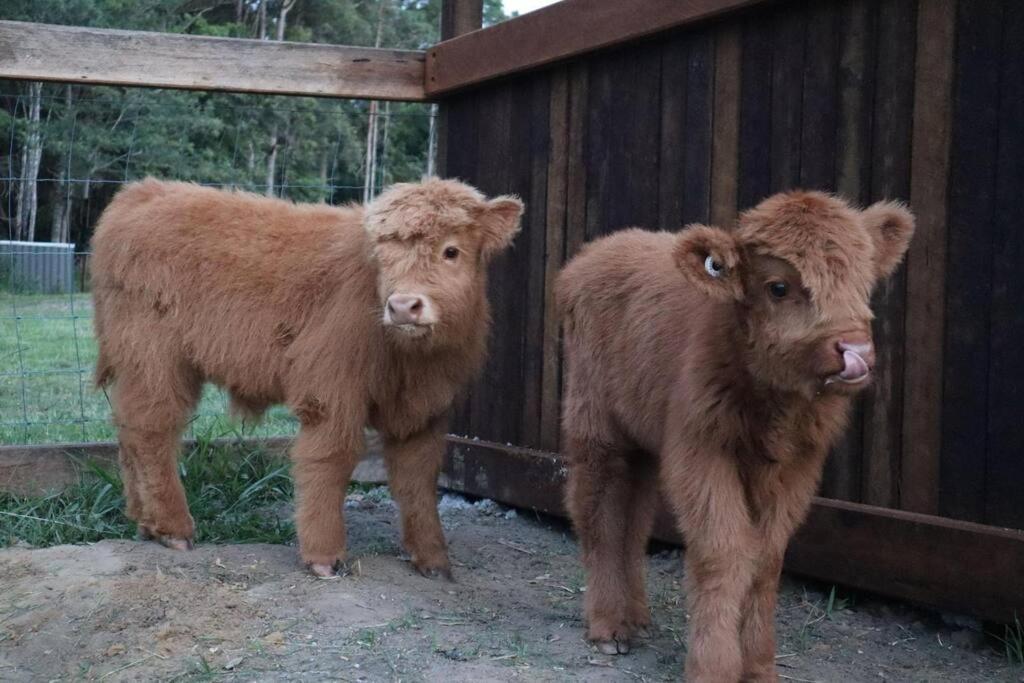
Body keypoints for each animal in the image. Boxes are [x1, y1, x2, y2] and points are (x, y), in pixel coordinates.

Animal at [91, 177, 522, 579]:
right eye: (383, 255)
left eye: (451, 251)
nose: (402, 306)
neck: (413, 361)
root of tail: (143, 191)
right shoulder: (331, 389)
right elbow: (330, 459)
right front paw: (324, 556)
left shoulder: (425, 410)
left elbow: (418, 479)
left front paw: (433, 559)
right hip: (155, 358)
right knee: (152, 430)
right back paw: (173, 528)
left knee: (129, 430)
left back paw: (143, 521)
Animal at [556, 191, 914, 681]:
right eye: (778, 286)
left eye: (863, 281)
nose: (854, 352)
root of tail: (597, 252)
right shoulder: (703, 454)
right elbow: (722, 552)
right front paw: (713, 666)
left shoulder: (796, 468)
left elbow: (765, 561)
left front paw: (759, 665)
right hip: (596, 430)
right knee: (599, 516)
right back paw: (609, 627)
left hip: (644, 440)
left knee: (634, 520)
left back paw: (637, 617)